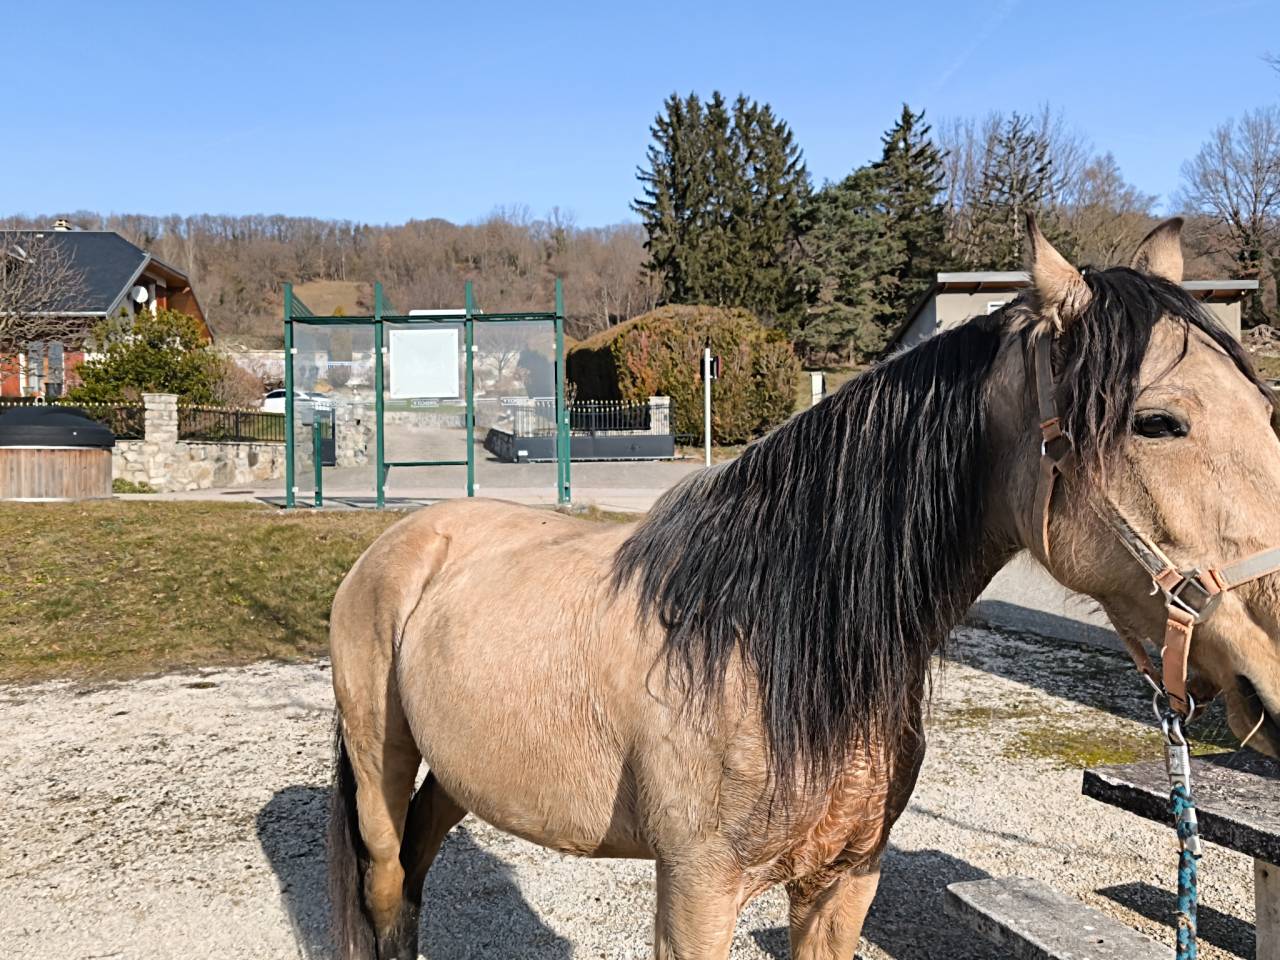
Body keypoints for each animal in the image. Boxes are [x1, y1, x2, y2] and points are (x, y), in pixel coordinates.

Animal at [327, 216, 1280, 960]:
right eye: (1158, 421)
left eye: (1267, 411)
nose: (1273, 672)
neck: (769, 645)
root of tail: (404, 538)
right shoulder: (696, 894)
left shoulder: (843, 882)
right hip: (379, 769)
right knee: (386, 891)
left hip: (459, 775)